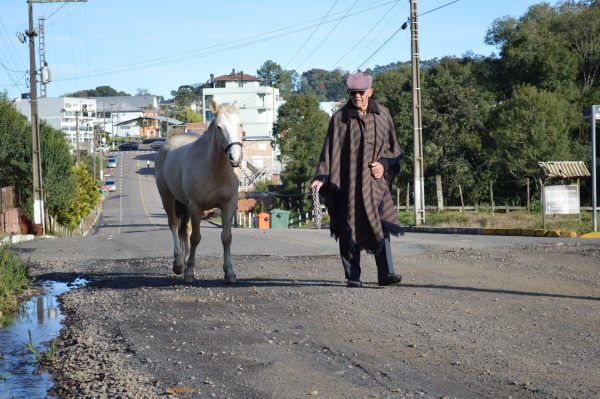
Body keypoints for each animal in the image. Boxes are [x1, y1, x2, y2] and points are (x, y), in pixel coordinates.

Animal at [155, 101, 244, 286]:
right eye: (218, 127)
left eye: (240, 124)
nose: (235, 158)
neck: (216, 170)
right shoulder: (196, 206)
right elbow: (196, 238)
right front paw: (189, 272)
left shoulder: (229, 204)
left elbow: (226, 237)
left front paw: (229, 272)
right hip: (167, 197)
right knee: (174, 225)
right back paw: (179, 264)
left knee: (186, 229)